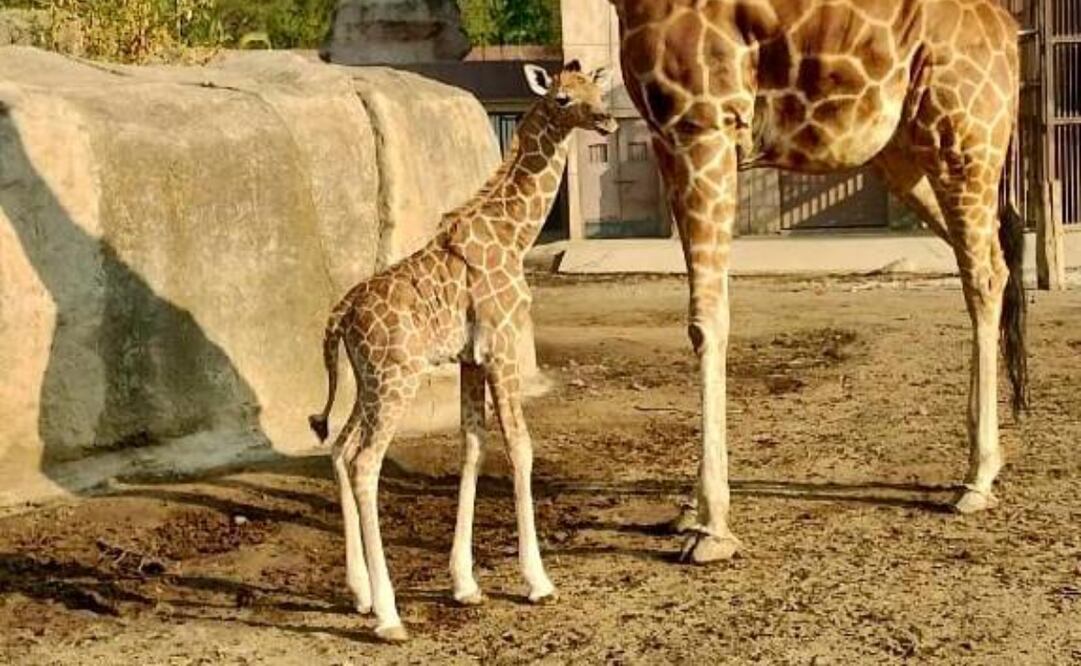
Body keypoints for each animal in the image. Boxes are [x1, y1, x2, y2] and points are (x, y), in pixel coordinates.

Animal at [308, 61, 616, 642]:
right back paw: (388, 616)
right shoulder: (502, 347)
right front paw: (537, 581)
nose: (607, 120)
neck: (514, 235)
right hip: (396, 379)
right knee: (364, 463)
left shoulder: (472, 359)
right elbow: (520, 447)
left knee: (339, 446)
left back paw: (360, 593)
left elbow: (472, 449)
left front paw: (465, 584)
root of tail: (340, 316)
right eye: (563, 98)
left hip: (370, 381)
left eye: (598, 90)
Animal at [608, 0, 1029, 563]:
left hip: (965, 139)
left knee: (983, 273)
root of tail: (1008, 28)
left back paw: (978, 479)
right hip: (903, 153)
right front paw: (692, 512)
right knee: (988, 263)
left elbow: (706, 319)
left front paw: (713, 529)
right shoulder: (667, 138)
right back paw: (982, 469)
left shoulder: (704, 123)